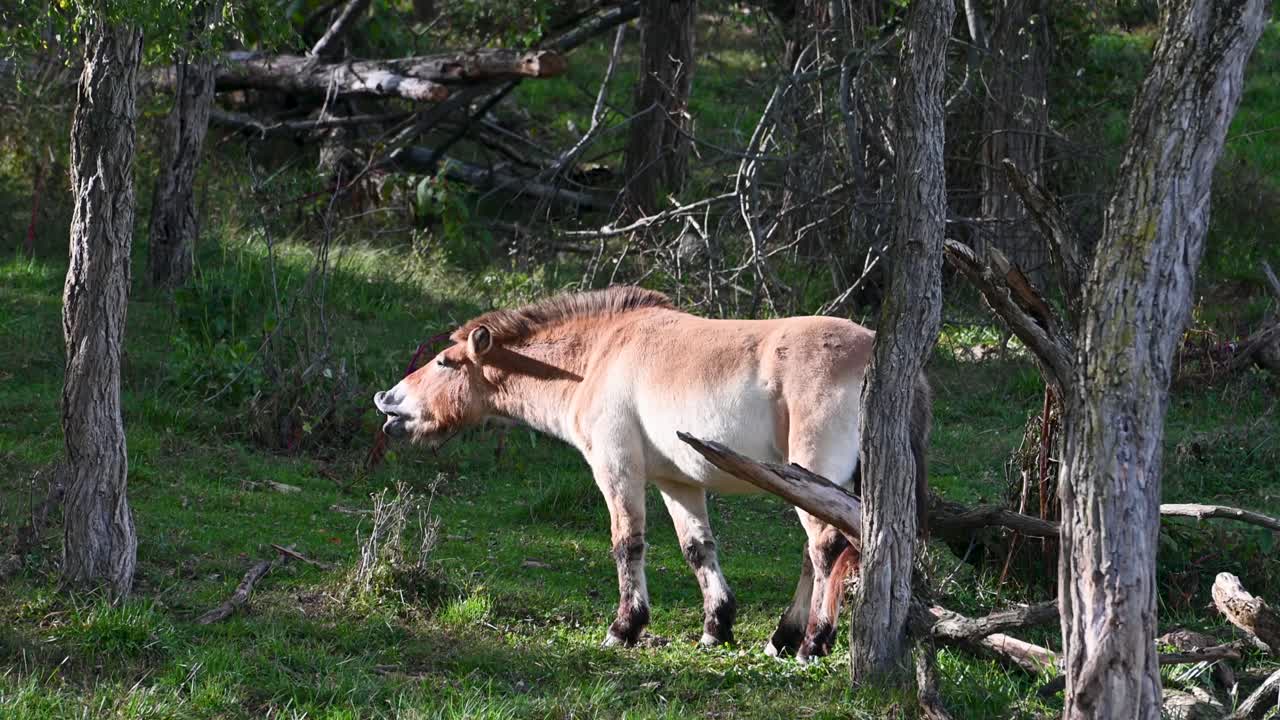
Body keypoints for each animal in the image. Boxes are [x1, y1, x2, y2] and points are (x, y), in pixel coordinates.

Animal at [373, 286, 931, 660]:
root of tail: (882, 362)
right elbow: (697, 549)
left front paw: (625, 627)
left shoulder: (617, 466)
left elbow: (628, 544)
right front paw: (716, 627)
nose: (387, 402)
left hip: (815, 476)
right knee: (817, 554)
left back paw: (812, 642)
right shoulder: (677, 481)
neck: (598, 357)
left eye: (445, 363)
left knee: (826, 551)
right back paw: (783, 636)